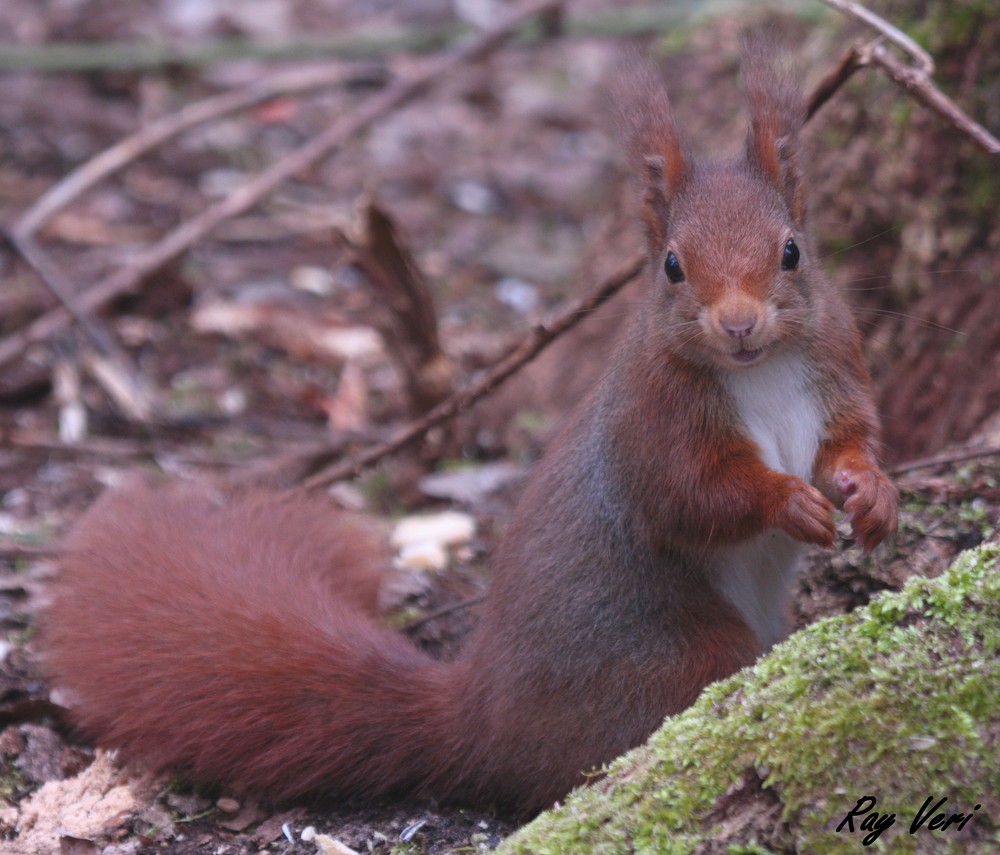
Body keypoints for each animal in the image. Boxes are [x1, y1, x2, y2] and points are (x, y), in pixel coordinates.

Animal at [41, 50, 900, 820]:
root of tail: (478, 719)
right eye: (671, 266)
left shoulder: (839, 366)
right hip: (679, 657)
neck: (761, 371)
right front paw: (788, 499)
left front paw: (872, 492)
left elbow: (850, 440)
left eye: (792, 251)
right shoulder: (654, 419)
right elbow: (690, 497)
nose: (740, 322)